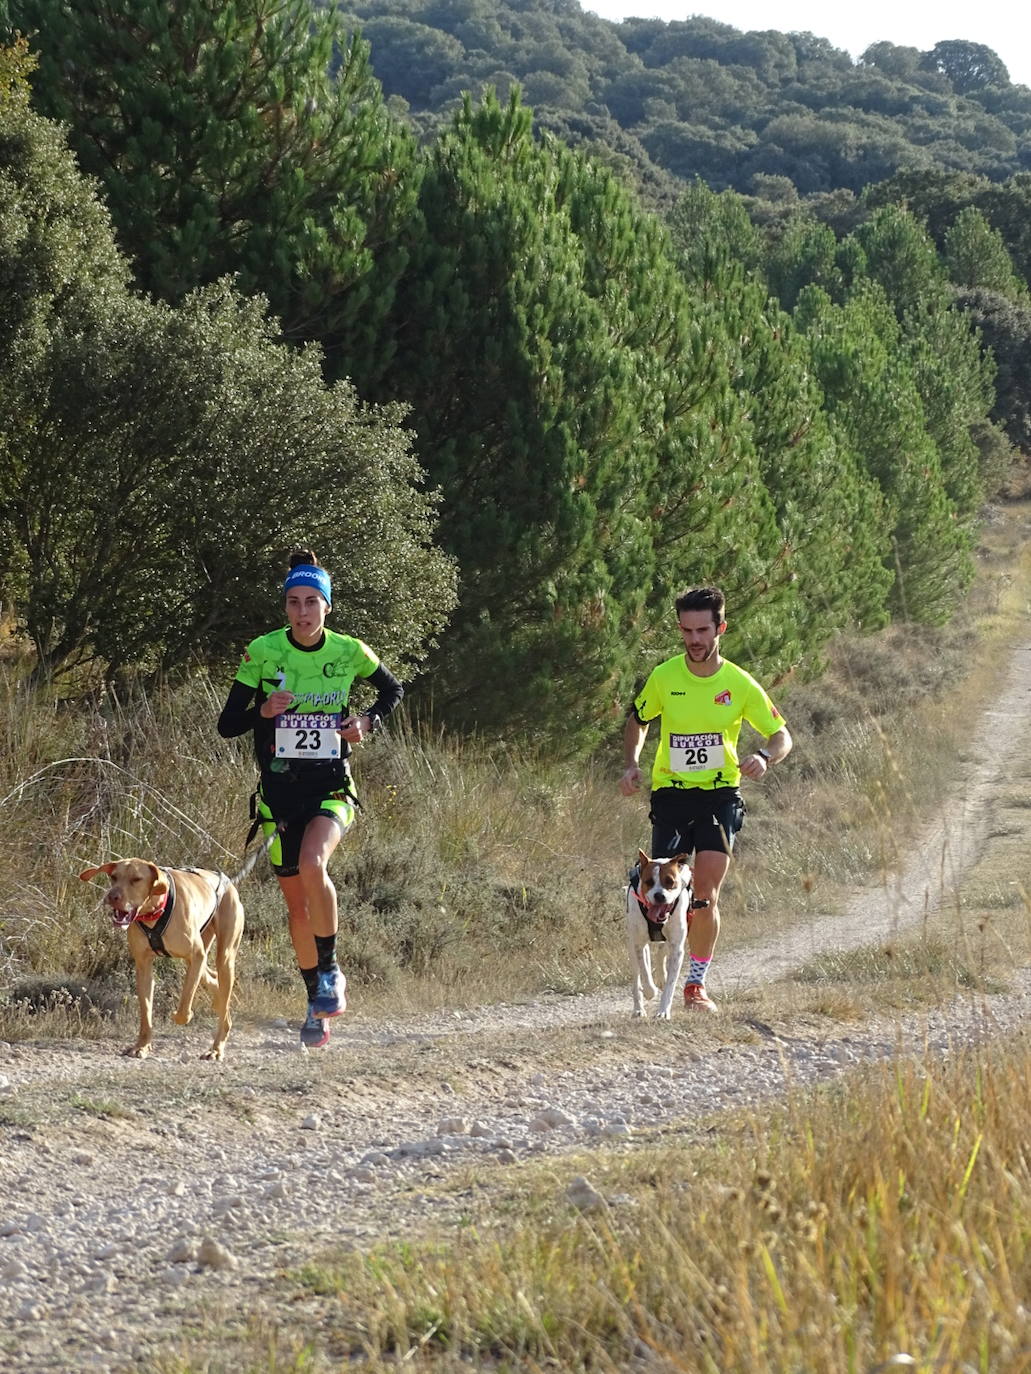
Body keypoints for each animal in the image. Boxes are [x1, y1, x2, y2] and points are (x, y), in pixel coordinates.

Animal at [79, 857, 244, 1060]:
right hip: (202, 957)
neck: (154, 910)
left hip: (224, 957)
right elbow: (146, 1013)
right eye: (114, 877)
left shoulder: (195, 955)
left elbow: (184, 1005)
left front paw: (181, 1016)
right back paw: (221, 1005)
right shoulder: (144, 966)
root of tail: (227, 882)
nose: (111, 897)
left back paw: (216, 1048)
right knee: (214, 980)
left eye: (136, 879)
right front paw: (141, 1046)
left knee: (220, 980)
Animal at [629, 846, 695, 1022]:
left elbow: (670, 985)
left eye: (670, 881)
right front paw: (650, 991)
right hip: (632, 947)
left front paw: (663, 1011)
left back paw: (661, 977)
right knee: (637, 976)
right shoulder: (638, 944)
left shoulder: (677, 947)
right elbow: (645, 970)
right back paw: (638, 1008)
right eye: (649, 882)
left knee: (661, 951)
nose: (659, 895)